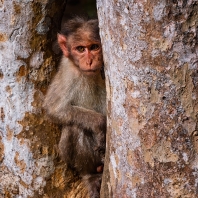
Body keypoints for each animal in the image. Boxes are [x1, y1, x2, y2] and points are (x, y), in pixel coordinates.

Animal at [42, 16, 106, 197]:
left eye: (94, 47)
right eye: (80, 49)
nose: (89, 61)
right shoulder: (68, 72)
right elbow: (54, 109)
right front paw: (100, 124)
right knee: (75, 127)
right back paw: (91, 175)